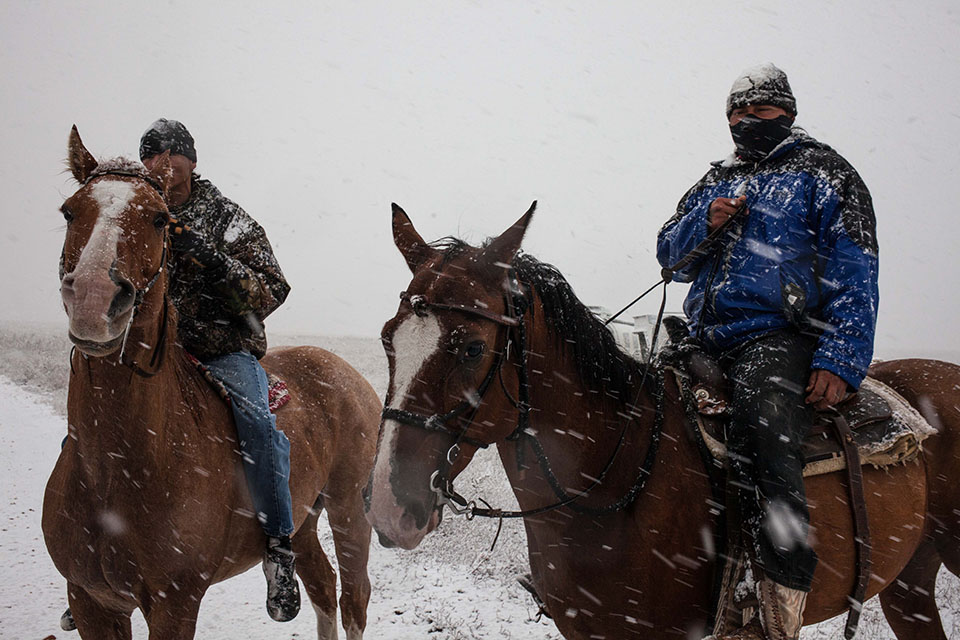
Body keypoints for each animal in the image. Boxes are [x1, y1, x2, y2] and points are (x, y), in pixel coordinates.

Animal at [41, 126, 380, 640]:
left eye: (160, 219)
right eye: (69, 210)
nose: (96, 300)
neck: (115, 471)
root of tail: (350, 377)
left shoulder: (175, 605)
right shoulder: (90, 601)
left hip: (347, 510)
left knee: (353, 599)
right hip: (303, 519)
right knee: (322, 585)